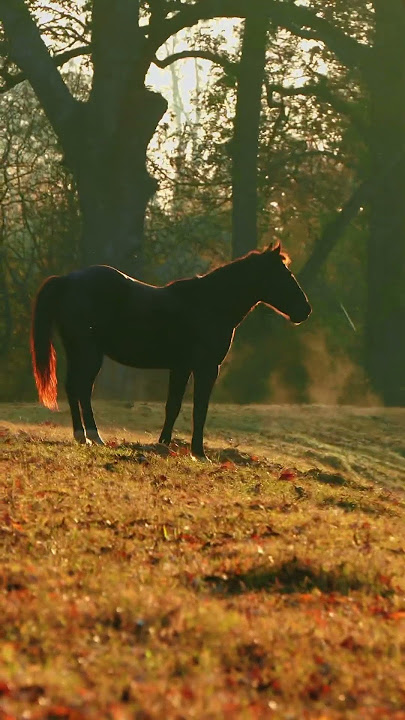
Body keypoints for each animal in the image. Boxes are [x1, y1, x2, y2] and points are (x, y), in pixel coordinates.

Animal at [30, 243, 311, 459]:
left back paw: (84, 436)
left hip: (78, 352)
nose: (305, 310)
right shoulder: (206, 368)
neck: (210, 303)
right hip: (89, 354)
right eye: (284, 274)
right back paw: (91, 436)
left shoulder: (181, 367)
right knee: (82, 389)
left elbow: (173, 406)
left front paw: (163, 445)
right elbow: (199, 409)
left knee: (74, 388)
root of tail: (68, 280)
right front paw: (199, 454)